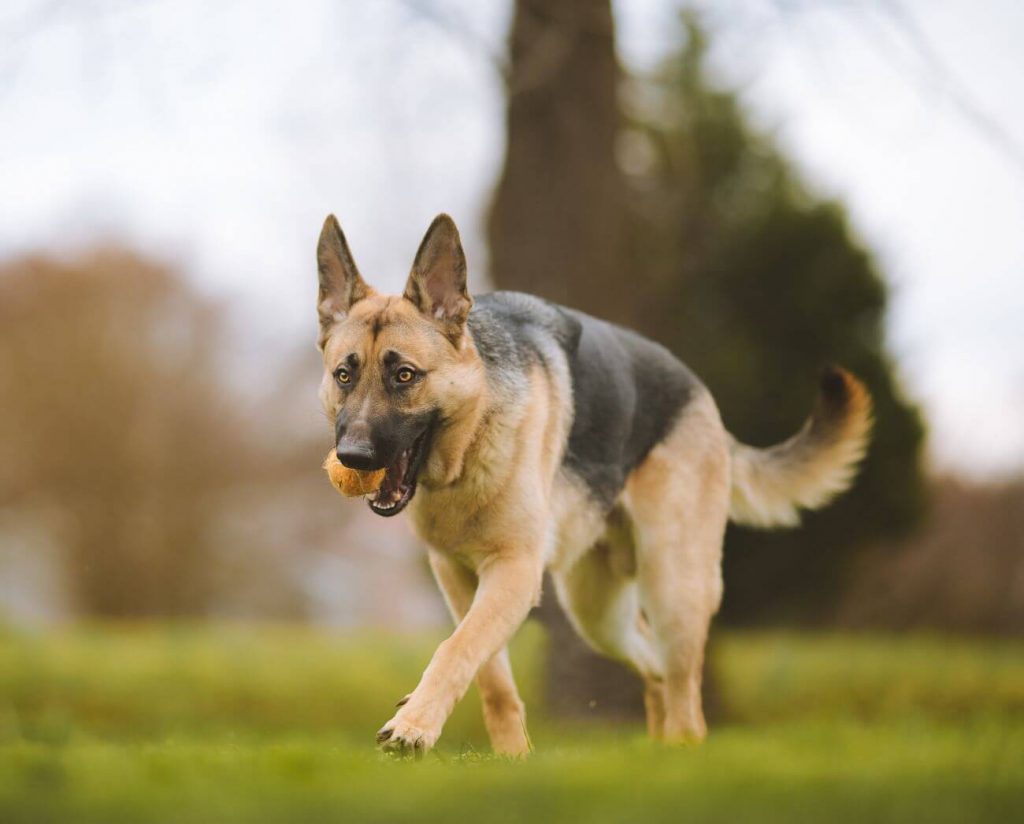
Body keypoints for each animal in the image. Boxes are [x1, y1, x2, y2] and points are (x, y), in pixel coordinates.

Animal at [313, 210, 872, 753]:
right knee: (654, 669)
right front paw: (511, 759)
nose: (353, 457)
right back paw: (659, 752)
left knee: (684, 694)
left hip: (674, 588)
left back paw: (683, 753)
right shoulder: (457, 578)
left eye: (405, 376)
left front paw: (413, 727)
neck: (469, 446)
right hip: (597, 612)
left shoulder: (513, 572)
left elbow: (459, 647)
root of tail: (700, 392)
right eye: (344, 375)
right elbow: (491, 676)